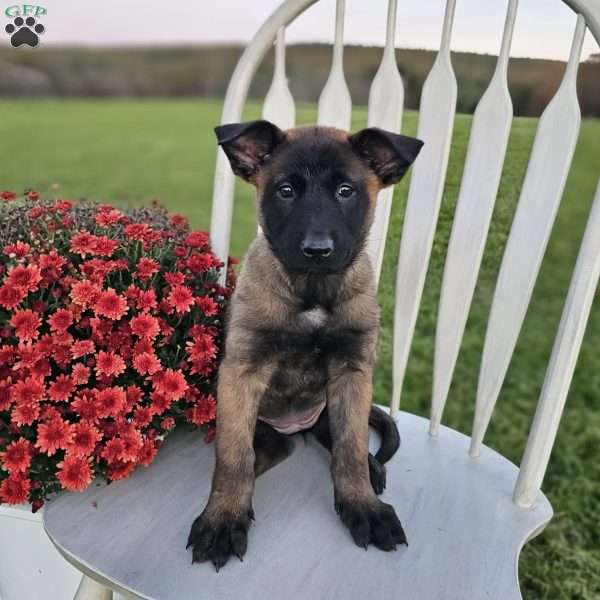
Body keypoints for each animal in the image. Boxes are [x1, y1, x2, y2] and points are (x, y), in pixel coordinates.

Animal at [186, 119, 422, 568]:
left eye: (346, 191)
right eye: (285, 190)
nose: (317, 250)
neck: (312, 291)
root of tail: (296, 429)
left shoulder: (352, 372)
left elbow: (350, 450)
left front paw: (363, 506)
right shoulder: (242, 373)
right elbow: (233, 458)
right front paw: (223, 518)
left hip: (330, 408)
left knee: (345, 441)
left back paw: (372, 471)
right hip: (269, 433)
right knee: (253, 457)